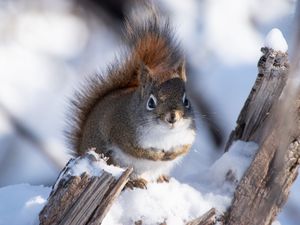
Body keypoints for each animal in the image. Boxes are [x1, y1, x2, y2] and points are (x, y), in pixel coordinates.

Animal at [66, 1, 196, 188]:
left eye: (186, 101)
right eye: (151, 102)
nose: (173, 117)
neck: (164, 133)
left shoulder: (188, 134)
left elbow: (185, 147)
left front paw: (172, 154)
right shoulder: (122, 132)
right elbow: (137, 150)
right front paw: (157, 155)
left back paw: (162, 178)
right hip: (112, 160)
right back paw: (135, 182)